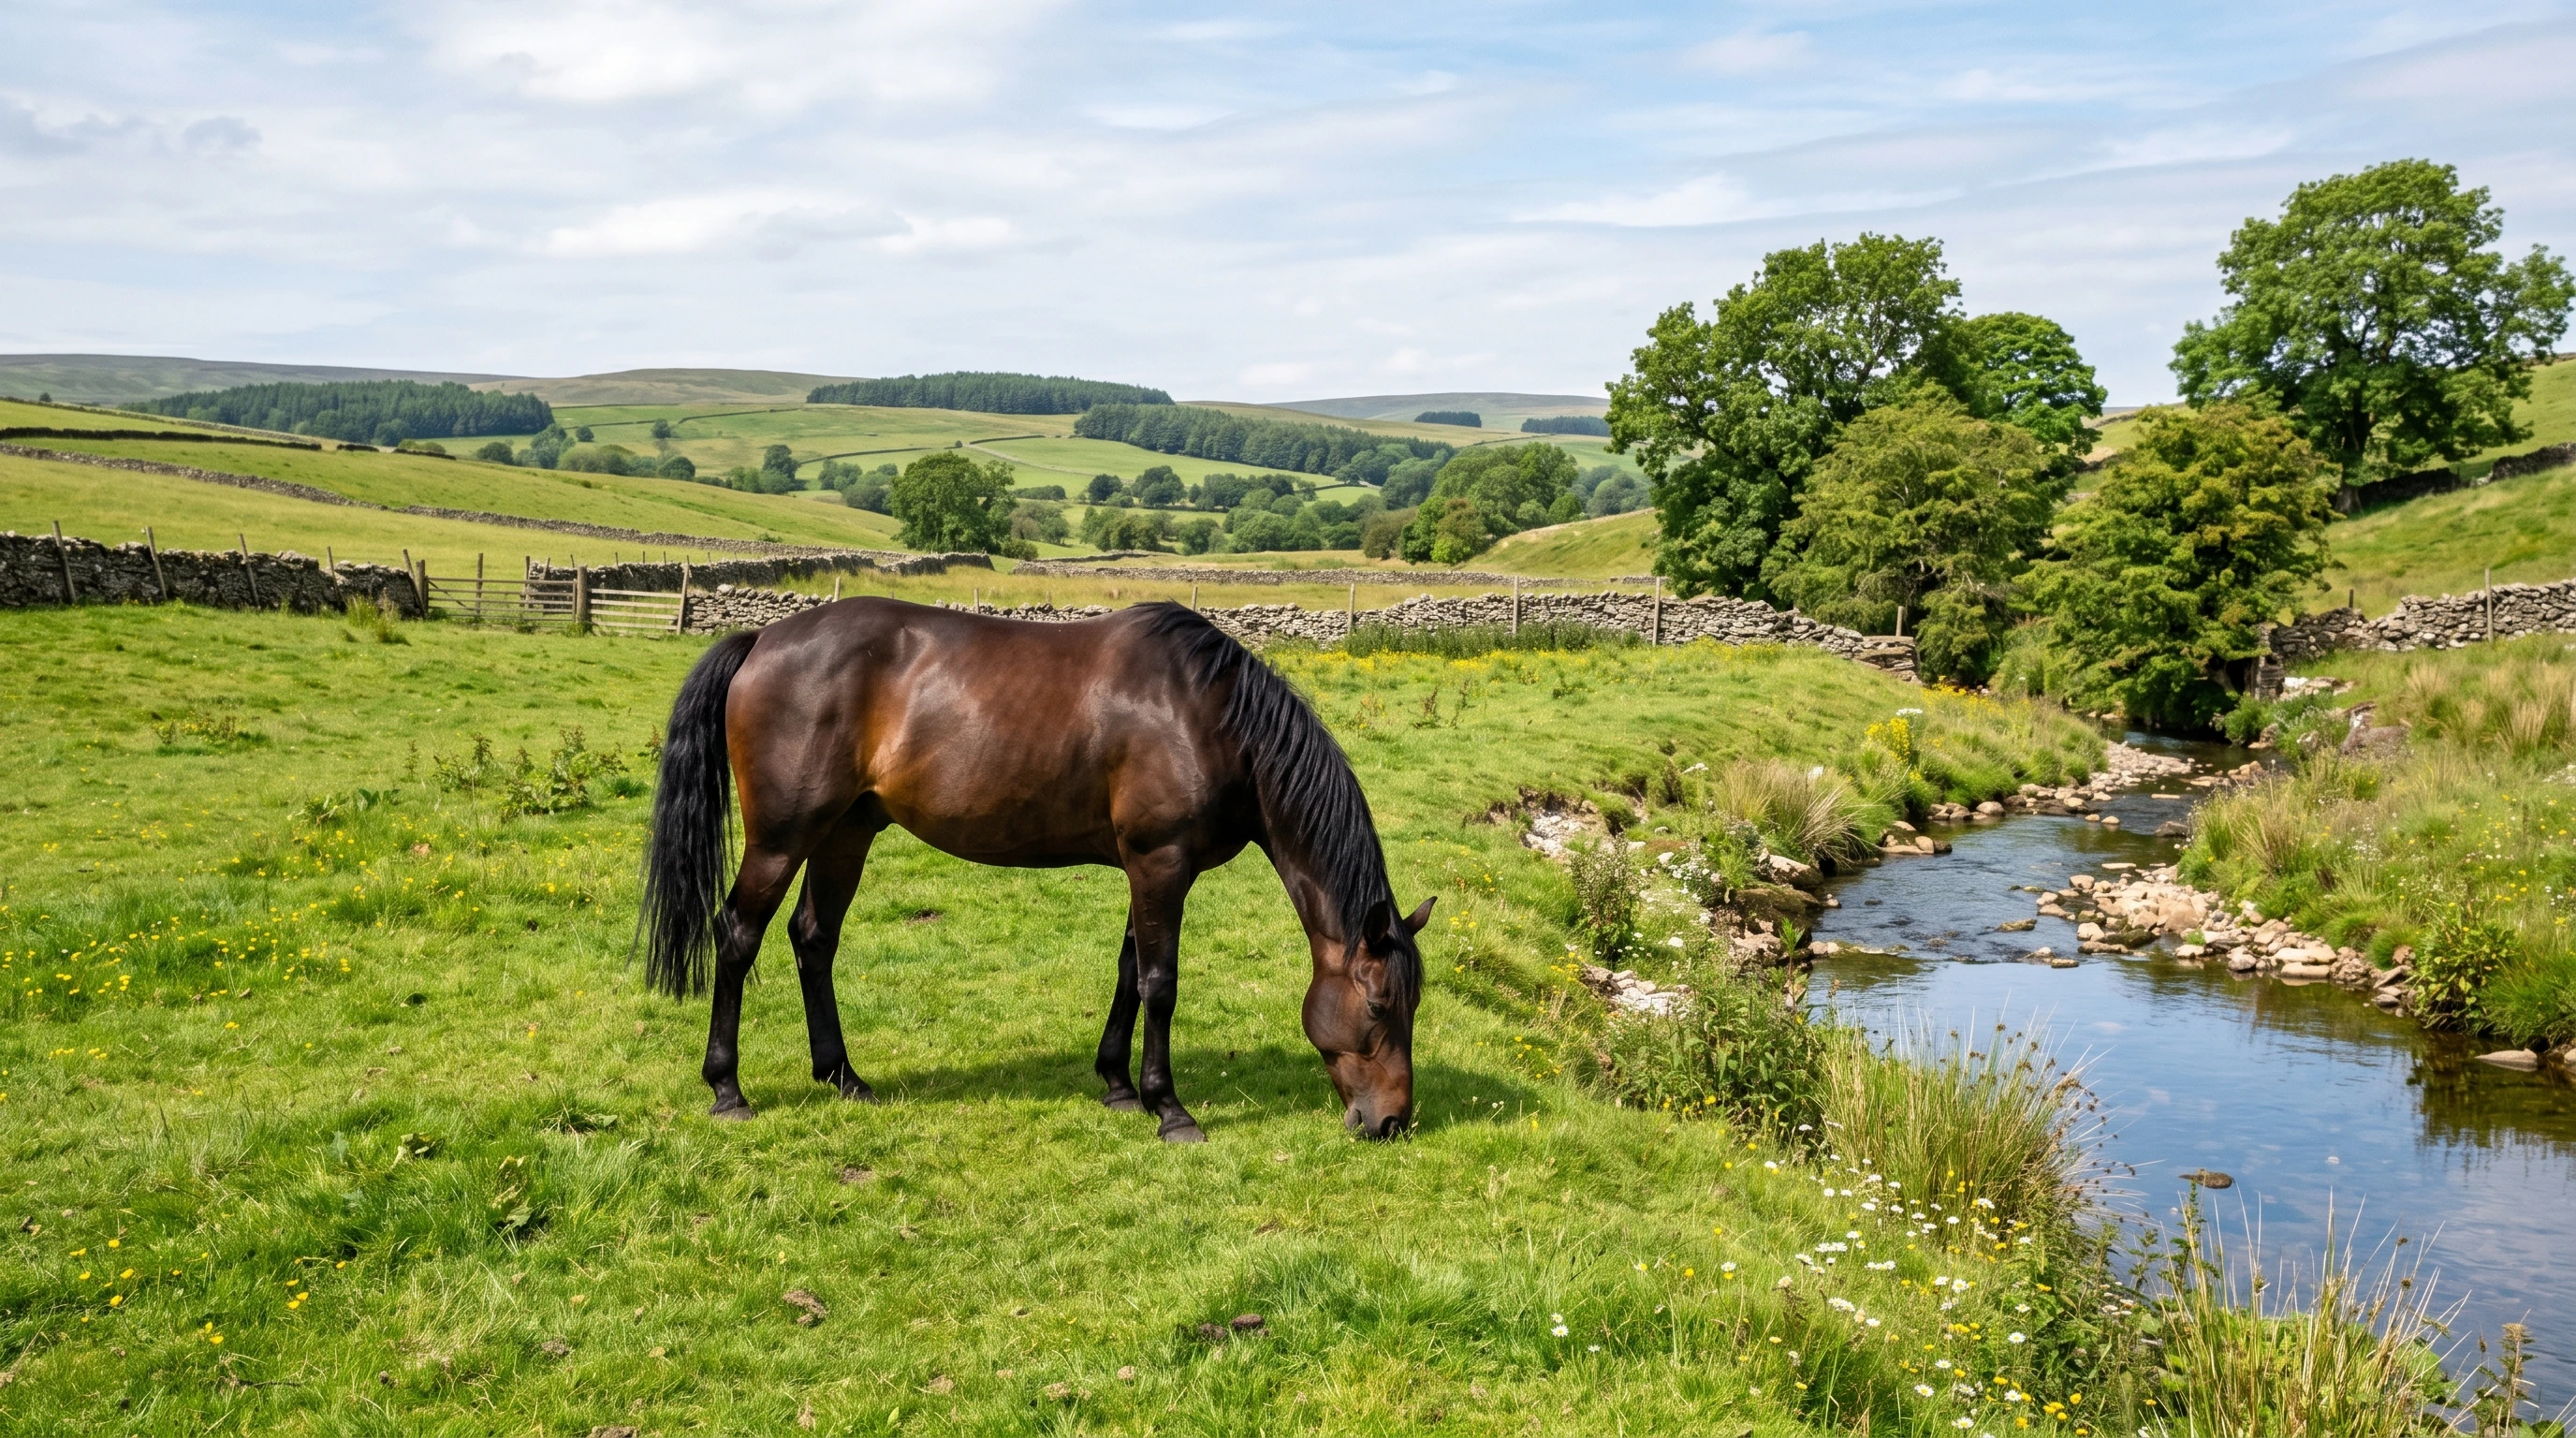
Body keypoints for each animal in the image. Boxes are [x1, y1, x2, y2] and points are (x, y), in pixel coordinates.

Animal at [639, 597, 1433, 1142]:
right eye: (1379, 1006)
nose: (1392, 1121)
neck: (1209, 716)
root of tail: (761, 640)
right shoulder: (1161, 863)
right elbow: (1160, 982)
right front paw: (1169, 1108)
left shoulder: (1143, 867)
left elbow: (1129, 970)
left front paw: (1117, 1084)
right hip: (784, 836)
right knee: (738, 935)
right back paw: (728, 1089)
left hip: (846, 832)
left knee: (813, 938)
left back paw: (843, 1077)